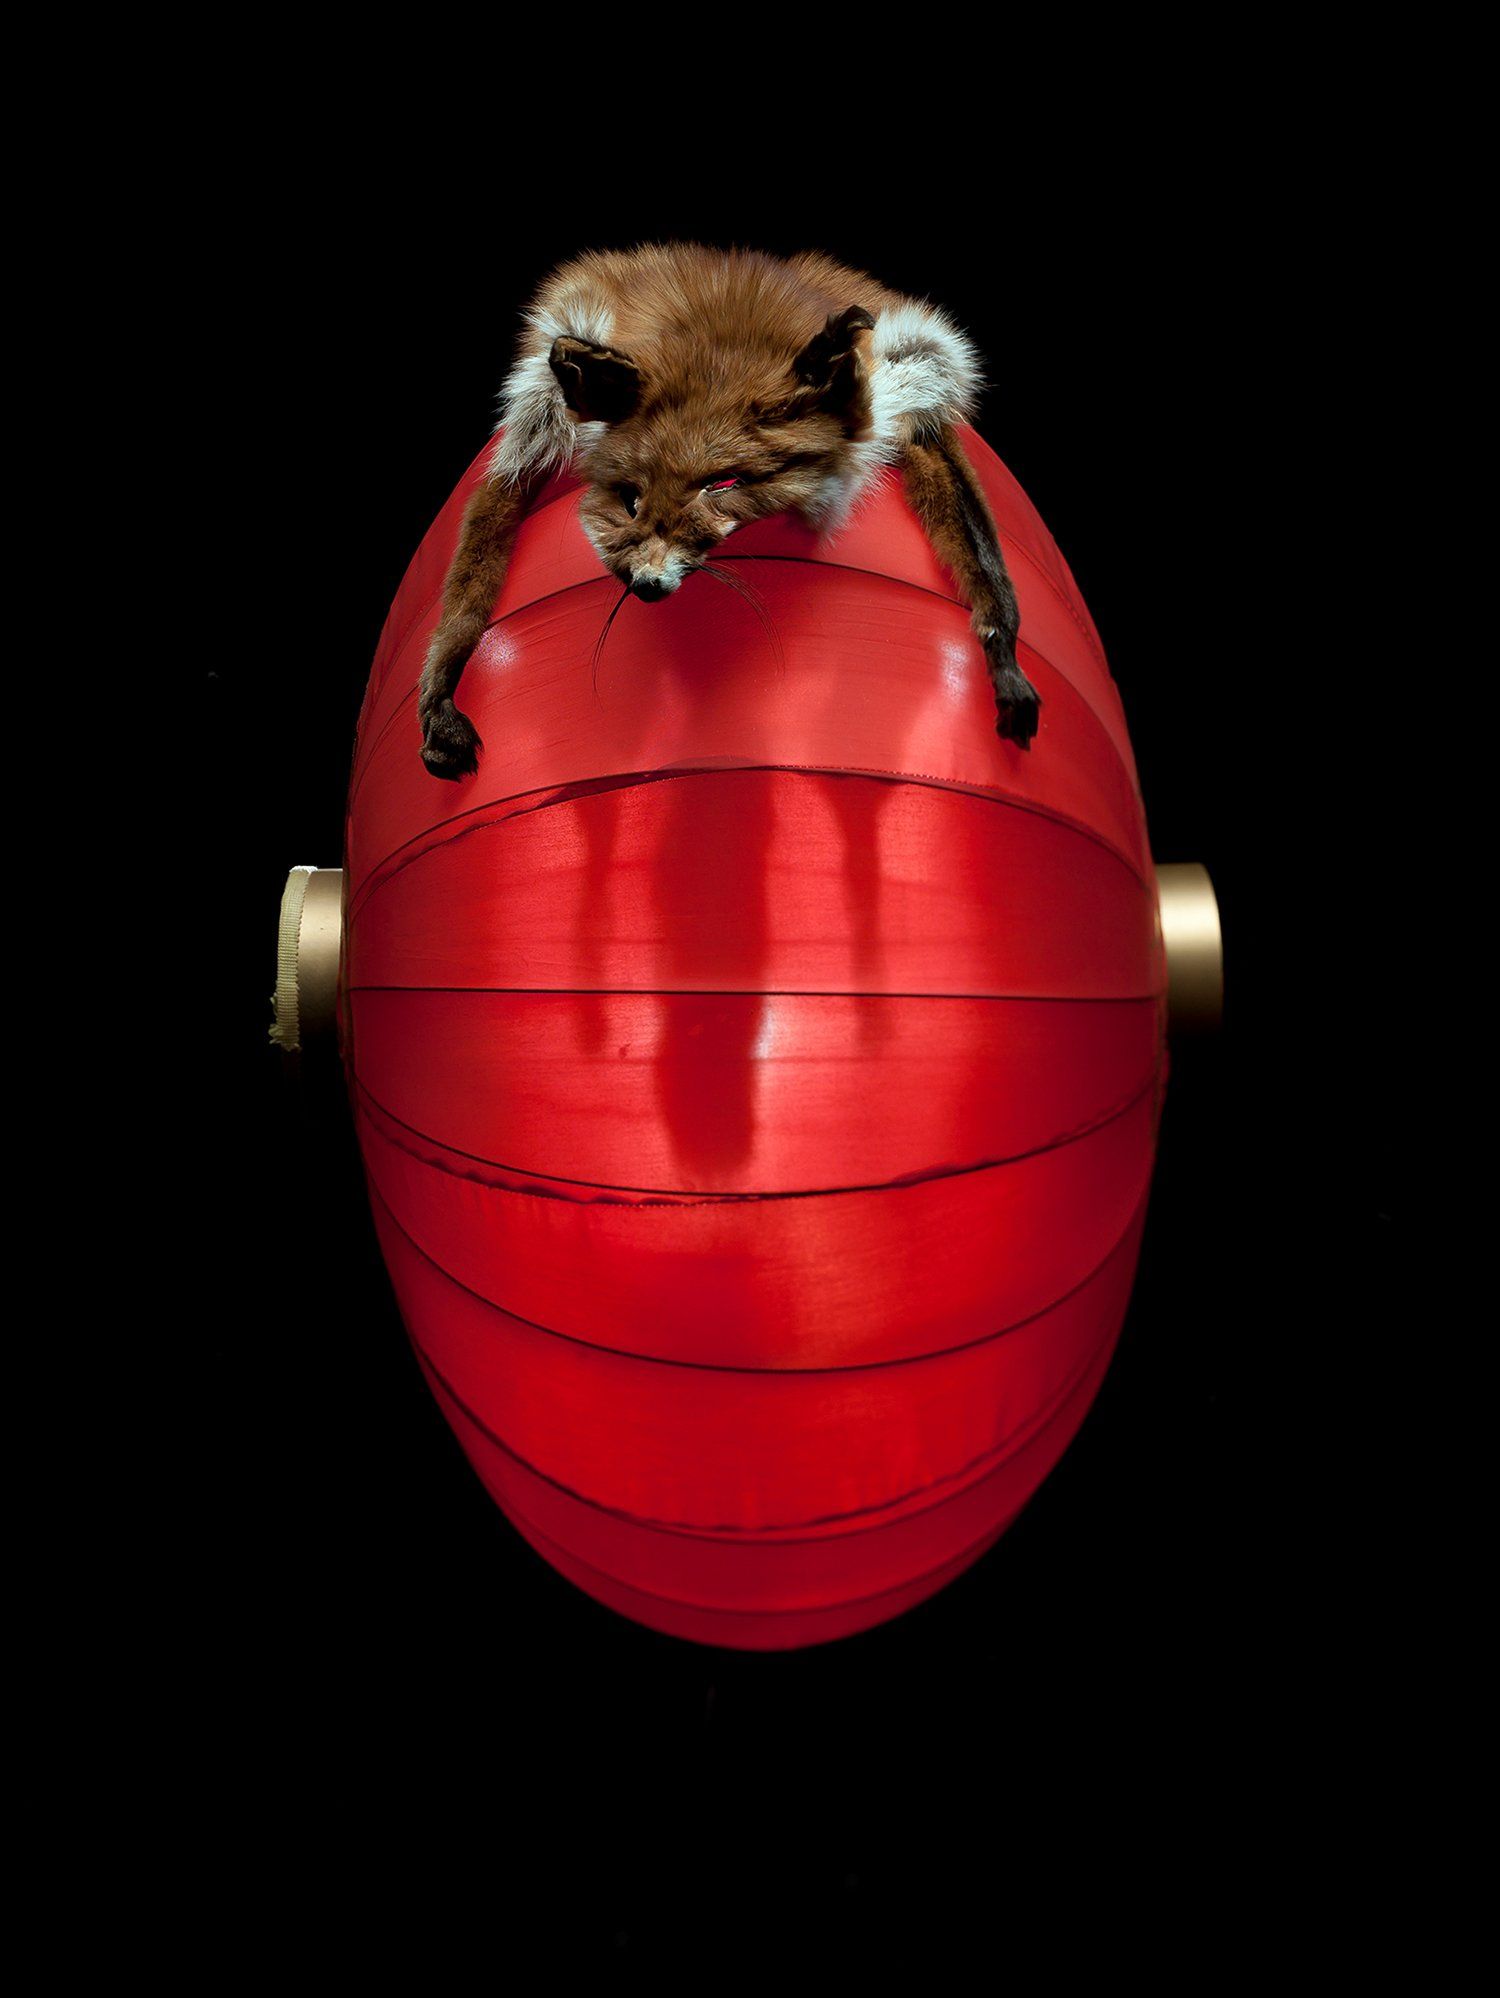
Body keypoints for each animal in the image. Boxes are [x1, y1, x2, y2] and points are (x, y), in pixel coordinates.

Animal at [417, 242, 1040, 779]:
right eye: (630, 499)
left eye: (724, 483)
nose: (644, 586)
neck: (717, 340)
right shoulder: (533, 429)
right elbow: (469, 587)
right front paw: (440, 698)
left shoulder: (913, 391)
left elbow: (986, 558)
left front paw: (1005, 663)